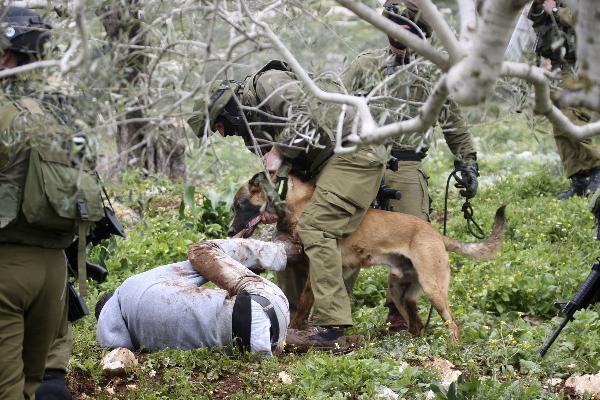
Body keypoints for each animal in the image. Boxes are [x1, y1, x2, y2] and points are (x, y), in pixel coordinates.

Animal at [230, 173, 506, 342]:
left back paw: (451, 349)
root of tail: (437, 234)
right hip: (399, 291)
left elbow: (305, 301)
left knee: (453, 324)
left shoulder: (316, 265)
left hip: (433, 288)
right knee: (417, 325)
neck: (291, 199)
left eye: (239, 205)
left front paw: (298, 328)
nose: (231, 232)